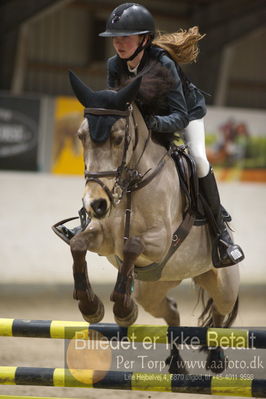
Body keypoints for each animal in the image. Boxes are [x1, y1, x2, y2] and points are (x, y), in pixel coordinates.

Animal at [53, 72, 239, 376]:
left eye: (118, 138)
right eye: (81, 136)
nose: (96, 204)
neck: (132, 183)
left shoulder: (161, 240)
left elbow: (132, 246)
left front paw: (122, 309)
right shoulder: (103, 238)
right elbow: (78, 245)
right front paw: (91, 306)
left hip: (223, 283)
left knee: (220, 311)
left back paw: (216, 357)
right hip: (152, 289)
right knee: (172, 311)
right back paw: (176, 362)